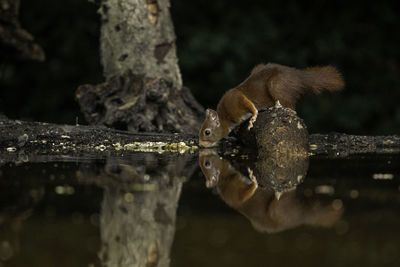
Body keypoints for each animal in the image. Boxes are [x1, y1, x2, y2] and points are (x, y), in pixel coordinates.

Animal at [199, 62, 344, 148]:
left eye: (207, 132)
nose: (200, 145)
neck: (226, 116)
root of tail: (300, 78)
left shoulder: (236, 99)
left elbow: (249, 104)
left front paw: (253, 118)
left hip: (277, 86)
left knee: (292, 108)